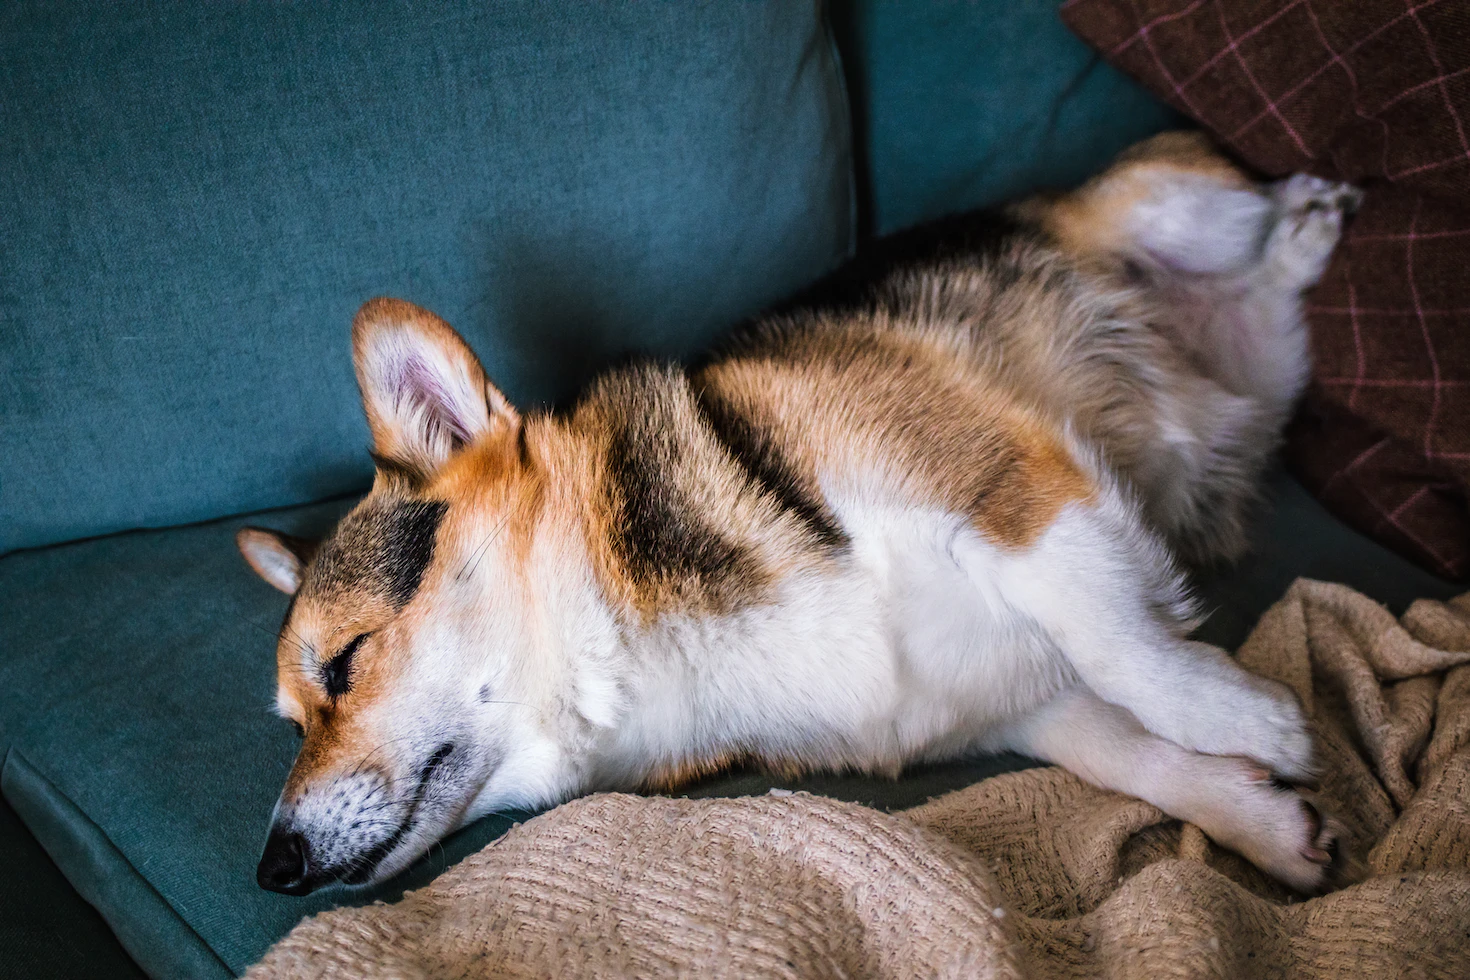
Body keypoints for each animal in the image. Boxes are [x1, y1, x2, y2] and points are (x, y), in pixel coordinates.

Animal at [238, 134, 1352, 899]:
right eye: (292, 721)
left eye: (345, 663)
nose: (273, 866)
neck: (650, 665)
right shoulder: (1009, 702)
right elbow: (1123, 749)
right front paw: (1259, 817)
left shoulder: (1003, 479)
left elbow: (1123, 647)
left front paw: (1251, 719)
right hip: (1264, 366)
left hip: (1167, 203)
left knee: (1245, 220)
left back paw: (1309, 216)